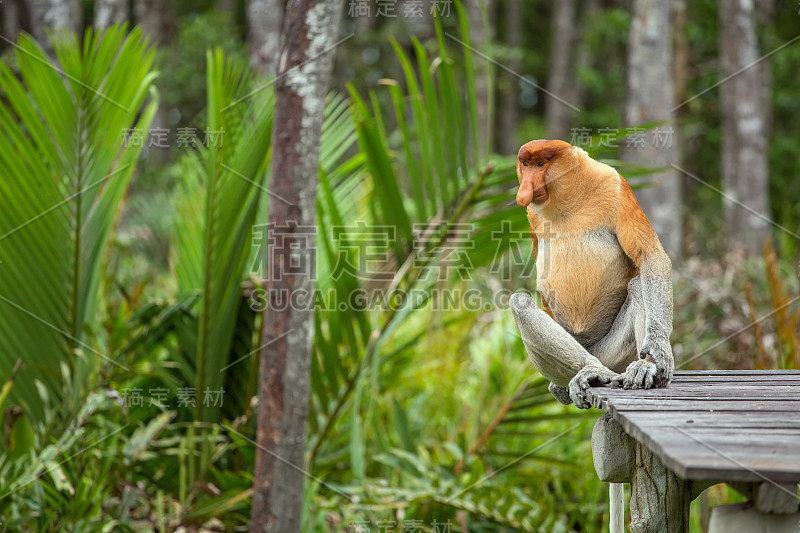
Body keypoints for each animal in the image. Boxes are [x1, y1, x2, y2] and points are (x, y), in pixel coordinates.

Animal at [510, 140, 672, 408]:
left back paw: (641, 367)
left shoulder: (615, 187)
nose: (526, 190)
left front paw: (658, 351)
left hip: (613, 355)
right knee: (519, 302)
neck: (569, 196)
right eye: (526, 165)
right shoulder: (532, 216)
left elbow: (649, 256)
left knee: (639, 285)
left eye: (540, 164)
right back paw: (590, 370)